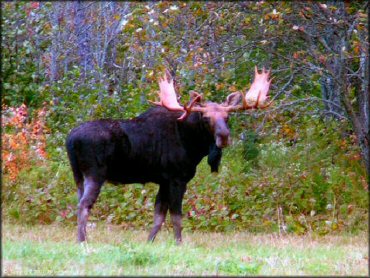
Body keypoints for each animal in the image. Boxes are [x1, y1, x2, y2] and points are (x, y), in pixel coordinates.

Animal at [65, 67, 270, 243]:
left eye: (227, 117)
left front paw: (148, 243)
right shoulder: (177, 178)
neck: (192, 145)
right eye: (206, 118)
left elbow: (159, 216)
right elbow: (176, 217)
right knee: (84, 205)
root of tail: (70, 139)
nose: (224, 136)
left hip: (78, 175)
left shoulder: (163, 181)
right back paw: (82, 242)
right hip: (95, 173)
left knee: (79, 202)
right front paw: (179, 244)